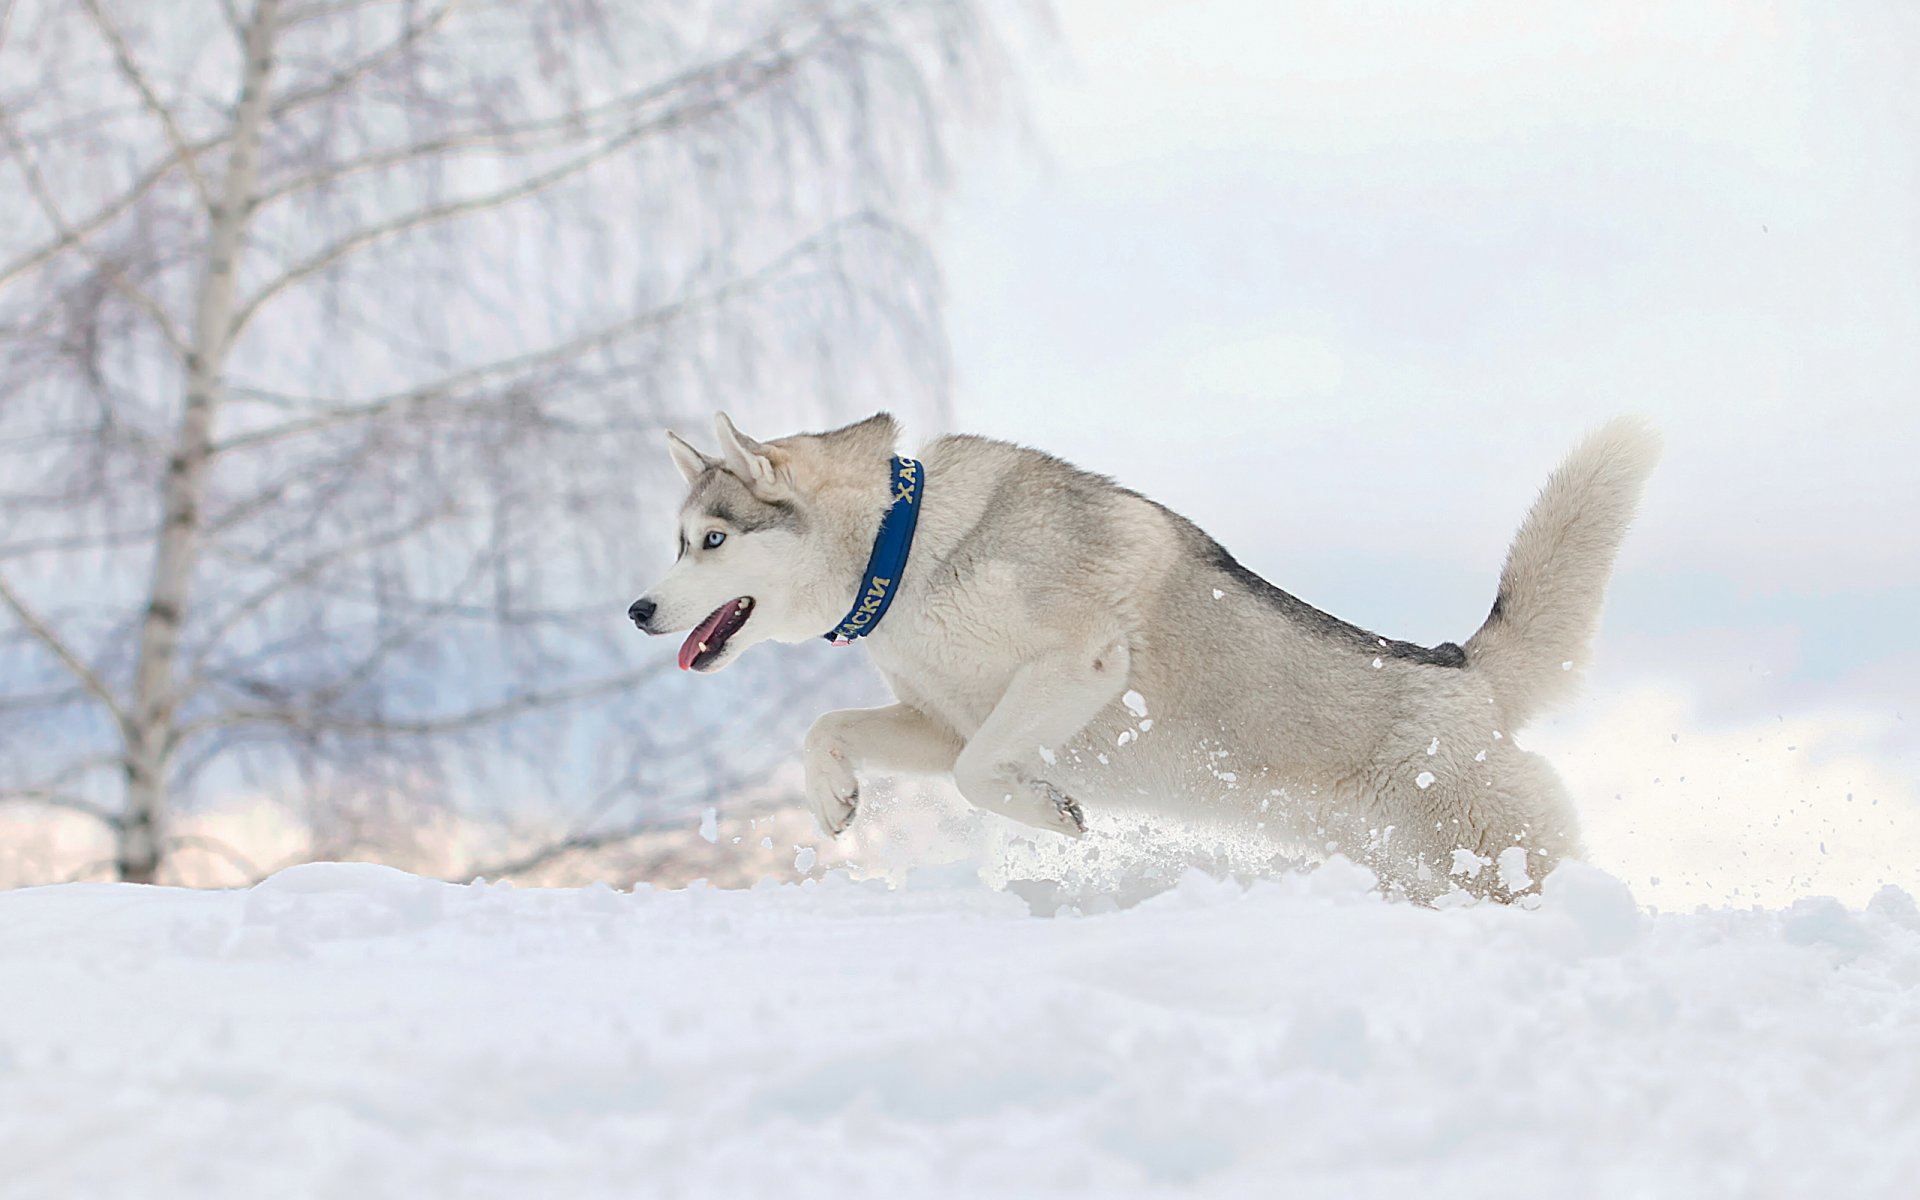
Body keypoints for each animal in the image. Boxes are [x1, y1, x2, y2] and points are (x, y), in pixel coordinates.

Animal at [629, 414, 1651, 898]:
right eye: (676, 542)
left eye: (712, 541)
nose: (638, 609)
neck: (905, 546)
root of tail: (1461, 668)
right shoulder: (940, 717)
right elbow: (829, 728)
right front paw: (833, 796)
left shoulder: (1079, 663)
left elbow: (976, 774)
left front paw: (1051, 814)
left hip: (1493, 853)